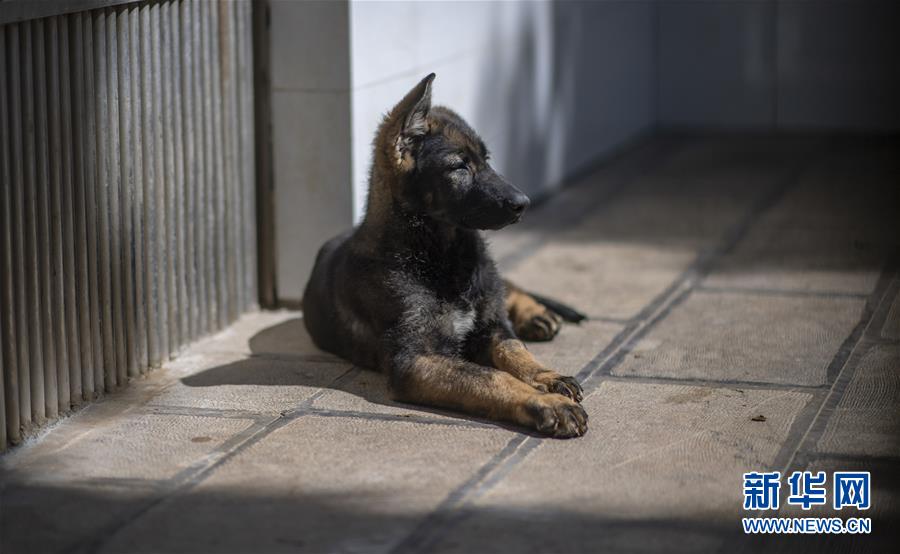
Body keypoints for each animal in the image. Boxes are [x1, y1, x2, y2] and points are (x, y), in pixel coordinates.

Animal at [304, 74, 592, 436]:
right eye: (459, 167)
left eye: (487, 159)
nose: (523, 203)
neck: (440, 257)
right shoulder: (415, 360)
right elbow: (493, 377)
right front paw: (548, 402)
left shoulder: (493, 329)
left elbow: (516, 352)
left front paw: (547, 377)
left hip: (491, 278)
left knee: (508, 289)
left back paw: (534, 313)